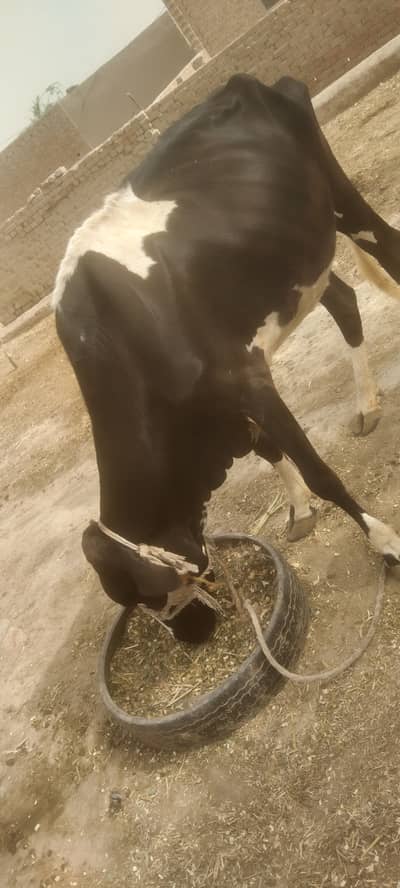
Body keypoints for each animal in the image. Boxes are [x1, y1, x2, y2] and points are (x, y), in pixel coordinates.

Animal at [52, 74, 400, 644]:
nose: (192, 636)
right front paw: (298, 508)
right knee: (345, 300)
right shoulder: (225, 397)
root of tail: (244, 83)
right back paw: (367, 404)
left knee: (388, 248)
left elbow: (319, 470)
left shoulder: (244, 381)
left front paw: (384, 542)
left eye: (150, 597)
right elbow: (269, 450)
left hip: (342, 204)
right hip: (288, 264)